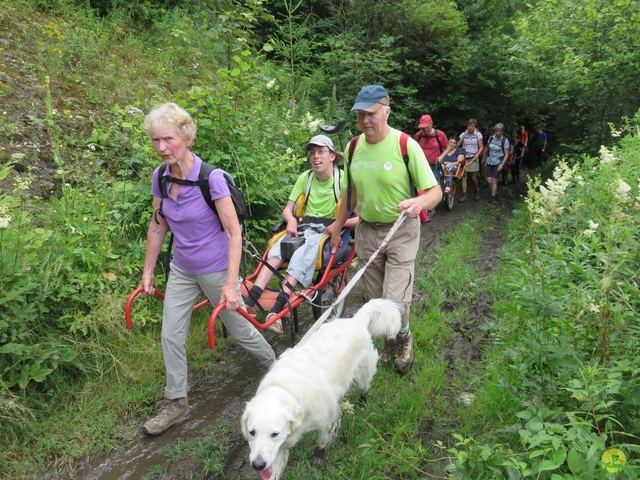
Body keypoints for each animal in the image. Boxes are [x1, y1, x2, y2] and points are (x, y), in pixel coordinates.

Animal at [240, 298, 400, 478]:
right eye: (252, 432)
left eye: (274, 434)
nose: (258, 465)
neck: (286, 391)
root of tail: (357, 319)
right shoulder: (279, 448)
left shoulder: (323, 426)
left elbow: (320, 445)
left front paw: (318, 459)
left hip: (362, 377)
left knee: (363, 390)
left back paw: (362, 403)